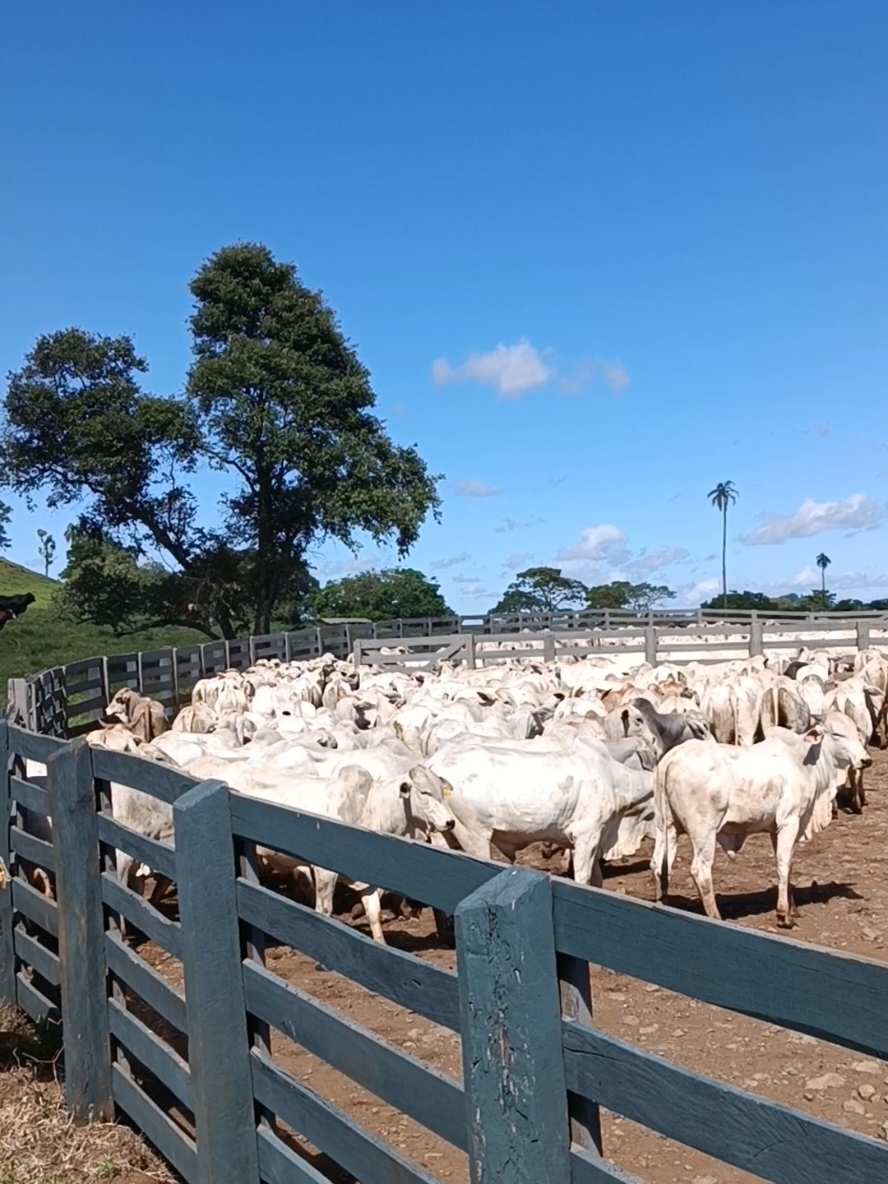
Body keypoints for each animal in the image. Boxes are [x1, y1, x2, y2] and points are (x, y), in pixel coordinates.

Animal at [653, 715, 871, 928]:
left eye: (855, 731)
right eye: (837, 734)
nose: (866, 760)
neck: (802, 760)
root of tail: (673, 756)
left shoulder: (778, 828)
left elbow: (789, 864)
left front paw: (792, 909)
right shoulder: (790, 822)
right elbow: (783, 864)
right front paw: (783, 915)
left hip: (666, 827)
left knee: (660, 865)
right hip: (704, 831)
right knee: (700, 871)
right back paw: (716, 916)